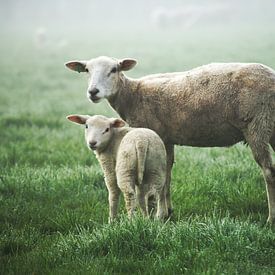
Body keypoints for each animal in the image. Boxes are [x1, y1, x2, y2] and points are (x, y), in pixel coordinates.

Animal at [65, 56, 275, 226]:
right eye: (87, 70)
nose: (93, 92)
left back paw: (270, 219)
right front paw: (167, 210)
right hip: (270, 126)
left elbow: (162, 177)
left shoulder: (157, 134)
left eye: (114, 69)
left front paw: (159, 215)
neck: (132, 94)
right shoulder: (167, 138)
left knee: (268, 172)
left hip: (257, 124)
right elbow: (168, 173)